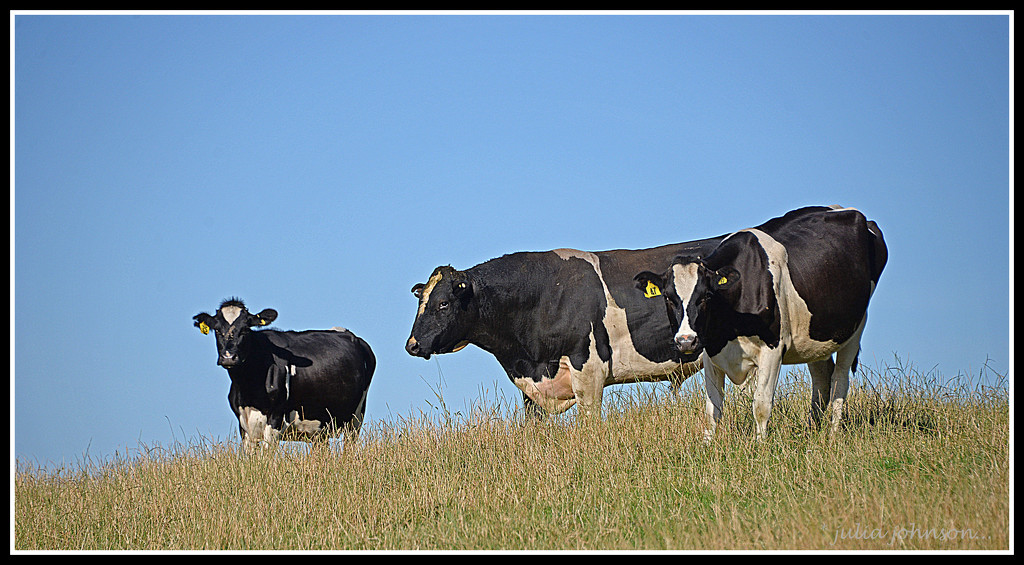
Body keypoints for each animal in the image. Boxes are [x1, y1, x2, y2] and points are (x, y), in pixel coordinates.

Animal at [192, 298, 376, 448]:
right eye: (217, 330)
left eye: (245, 329)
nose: (229, 357)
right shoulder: (244, 424)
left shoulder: (275, 418)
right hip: (319, 425)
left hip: (355, 418)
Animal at [634, 205, 884, 440]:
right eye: (668, 297)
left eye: (706, 295)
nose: (686, 341)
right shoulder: (709, 350)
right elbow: (713, 408)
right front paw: (708, 444)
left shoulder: (773, 348)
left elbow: (761, 405)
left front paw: (760, 446)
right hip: (817, 336)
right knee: (823, 378)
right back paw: (812, 431)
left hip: (854, 328)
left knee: (839, 380)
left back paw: (832, 435)